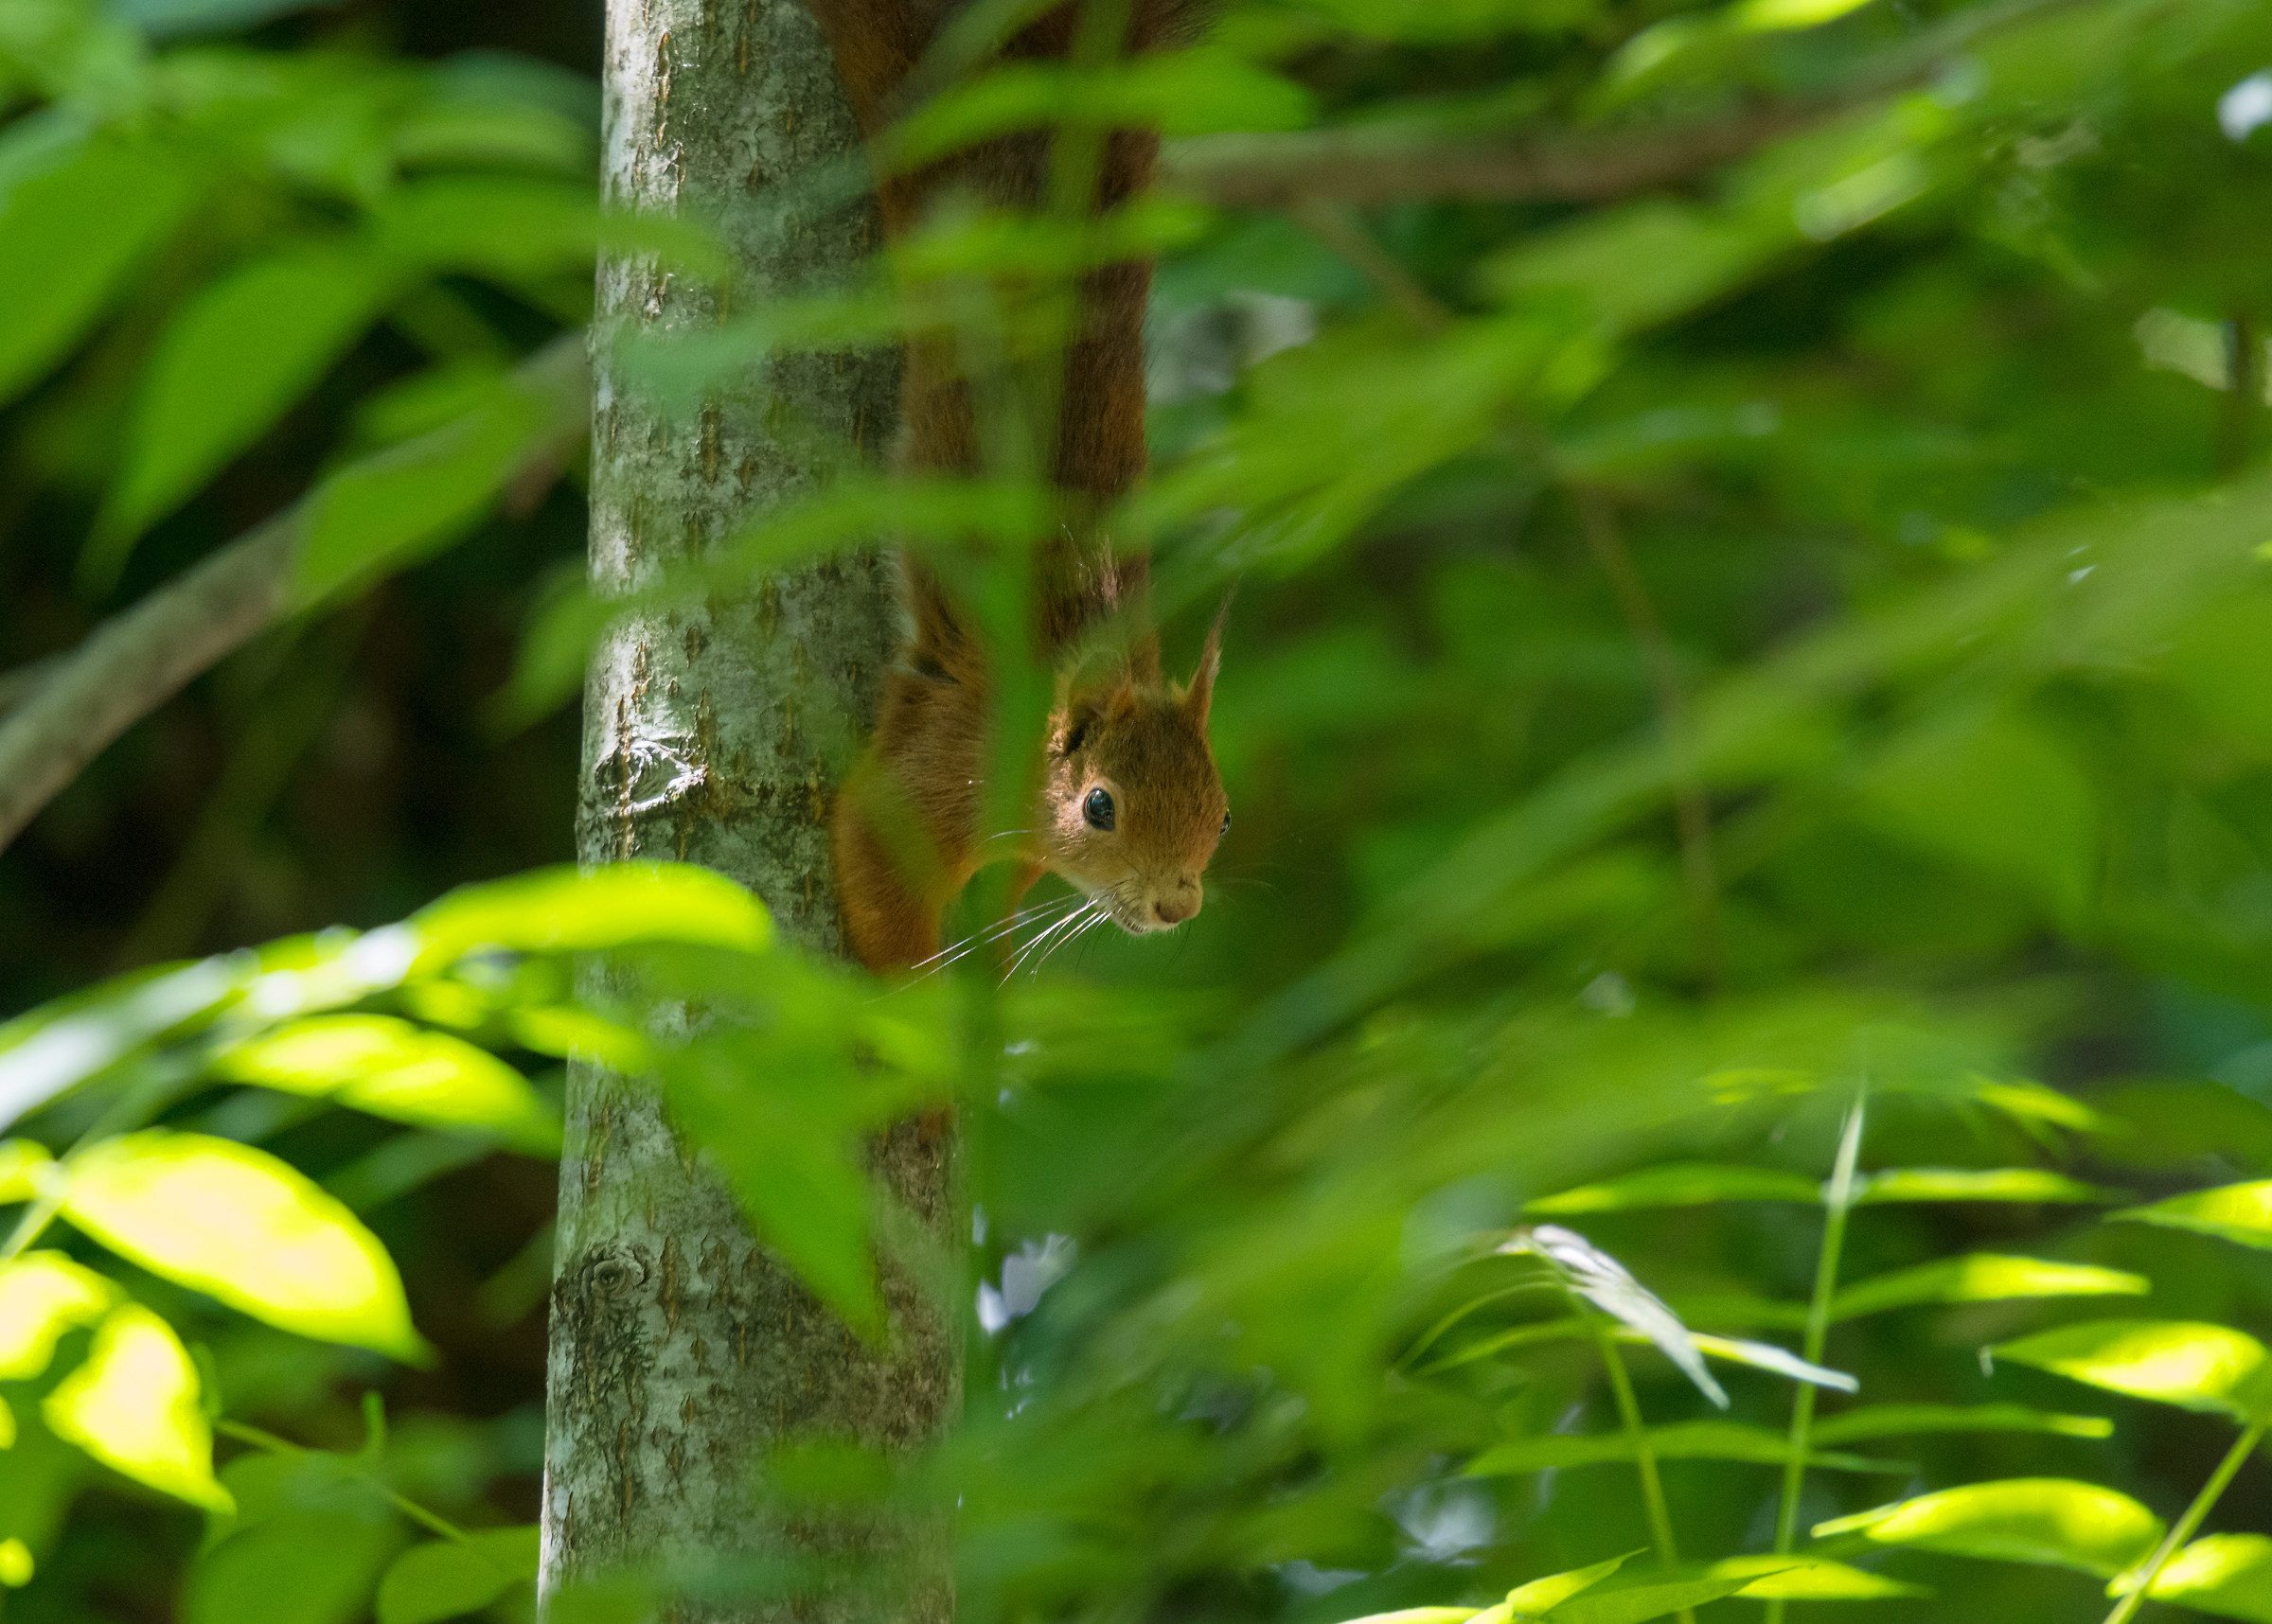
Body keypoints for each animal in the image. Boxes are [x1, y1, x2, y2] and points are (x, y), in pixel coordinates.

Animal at [800, 0, 1231, 971]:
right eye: (1100, 806)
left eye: (1223, 813)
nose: (1177, 907)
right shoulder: (950, 751)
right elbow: (876, 862)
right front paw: (904, 1006)